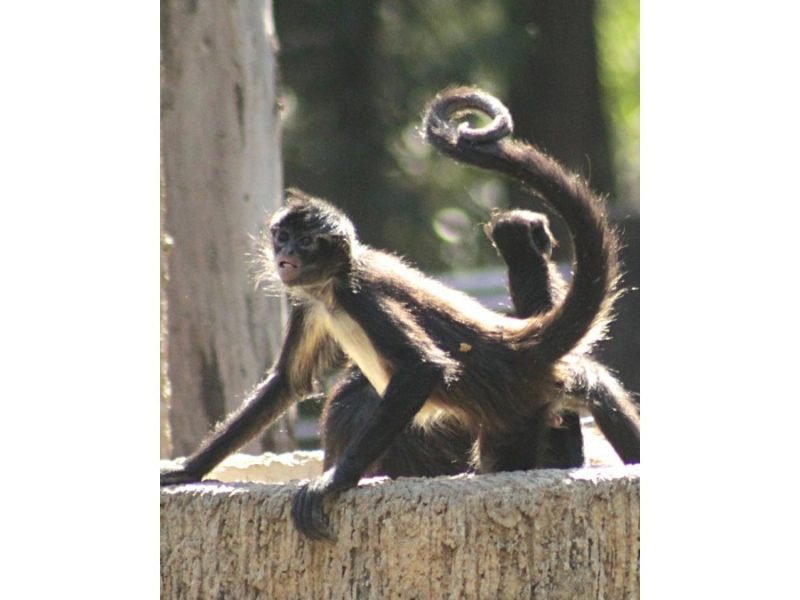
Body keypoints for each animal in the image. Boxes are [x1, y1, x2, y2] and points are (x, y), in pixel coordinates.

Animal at [160, 87, 640, 541]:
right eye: (282, 236)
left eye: (307, 241)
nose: (287, 255)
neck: (334, 283)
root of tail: (512, 346)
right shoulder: (310, 303)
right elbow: (287, 383)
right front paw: (188, 470)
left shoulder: (361, 297)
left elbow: (422, 368)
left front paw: (333, 483)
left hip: (515, 413)